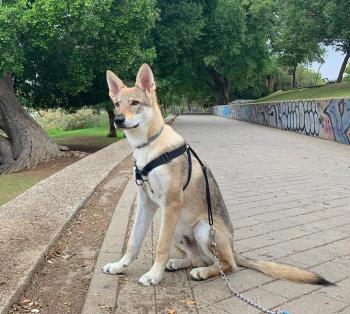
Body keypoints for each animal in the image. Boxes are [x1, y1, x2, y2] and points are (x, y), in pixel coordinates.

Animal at [102, 63, 332, 288]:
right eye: (116, 104)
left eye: (135, 103)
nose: (118, 120)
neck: (149, 146)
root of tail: (232, 247)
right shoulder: (146, 203)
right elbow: (133, 241)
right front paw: (120, 266)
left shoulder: (171, 203)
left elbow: (160, 246)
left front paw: (154, 275)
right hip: (176, 228)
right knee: (199, 259)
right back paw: (180, 263)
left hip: (202, 228)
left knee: (227, 265)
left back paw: (203, 272)